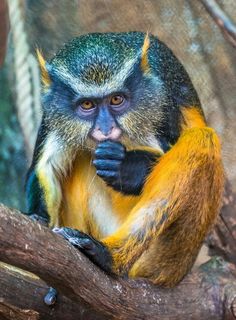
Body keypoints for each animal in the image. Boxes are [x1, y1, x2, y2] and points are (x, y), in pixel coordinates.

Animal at [24, 31, 224, 298]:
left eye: (117, 99)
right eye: (87, 105)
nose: (106, 128)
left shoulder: (163, 105)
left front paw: (127, 168)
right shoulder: (52, 118)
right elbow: (44, 169)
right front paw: (39, 217)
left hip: (168, 261)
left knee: (202, 139)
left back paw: (110, 257)